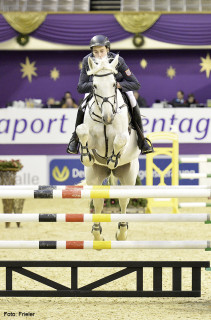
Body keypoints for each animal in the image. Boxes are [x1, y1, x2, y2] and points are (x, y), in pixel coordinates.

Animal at [77, 54, 140, 240]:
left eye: (114, 83)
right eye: (94, 85)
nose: (108, 118)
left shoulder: (124, 140)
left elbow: (119, 141)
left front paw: (112, 159)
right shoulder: (91, 140)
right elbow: (82, 130)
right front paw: (86, 156)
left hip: (128, 176)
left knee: (124, 202)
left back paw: (122, 232)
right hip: (95, 176)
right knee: (98, 203)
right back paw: (98, 234)